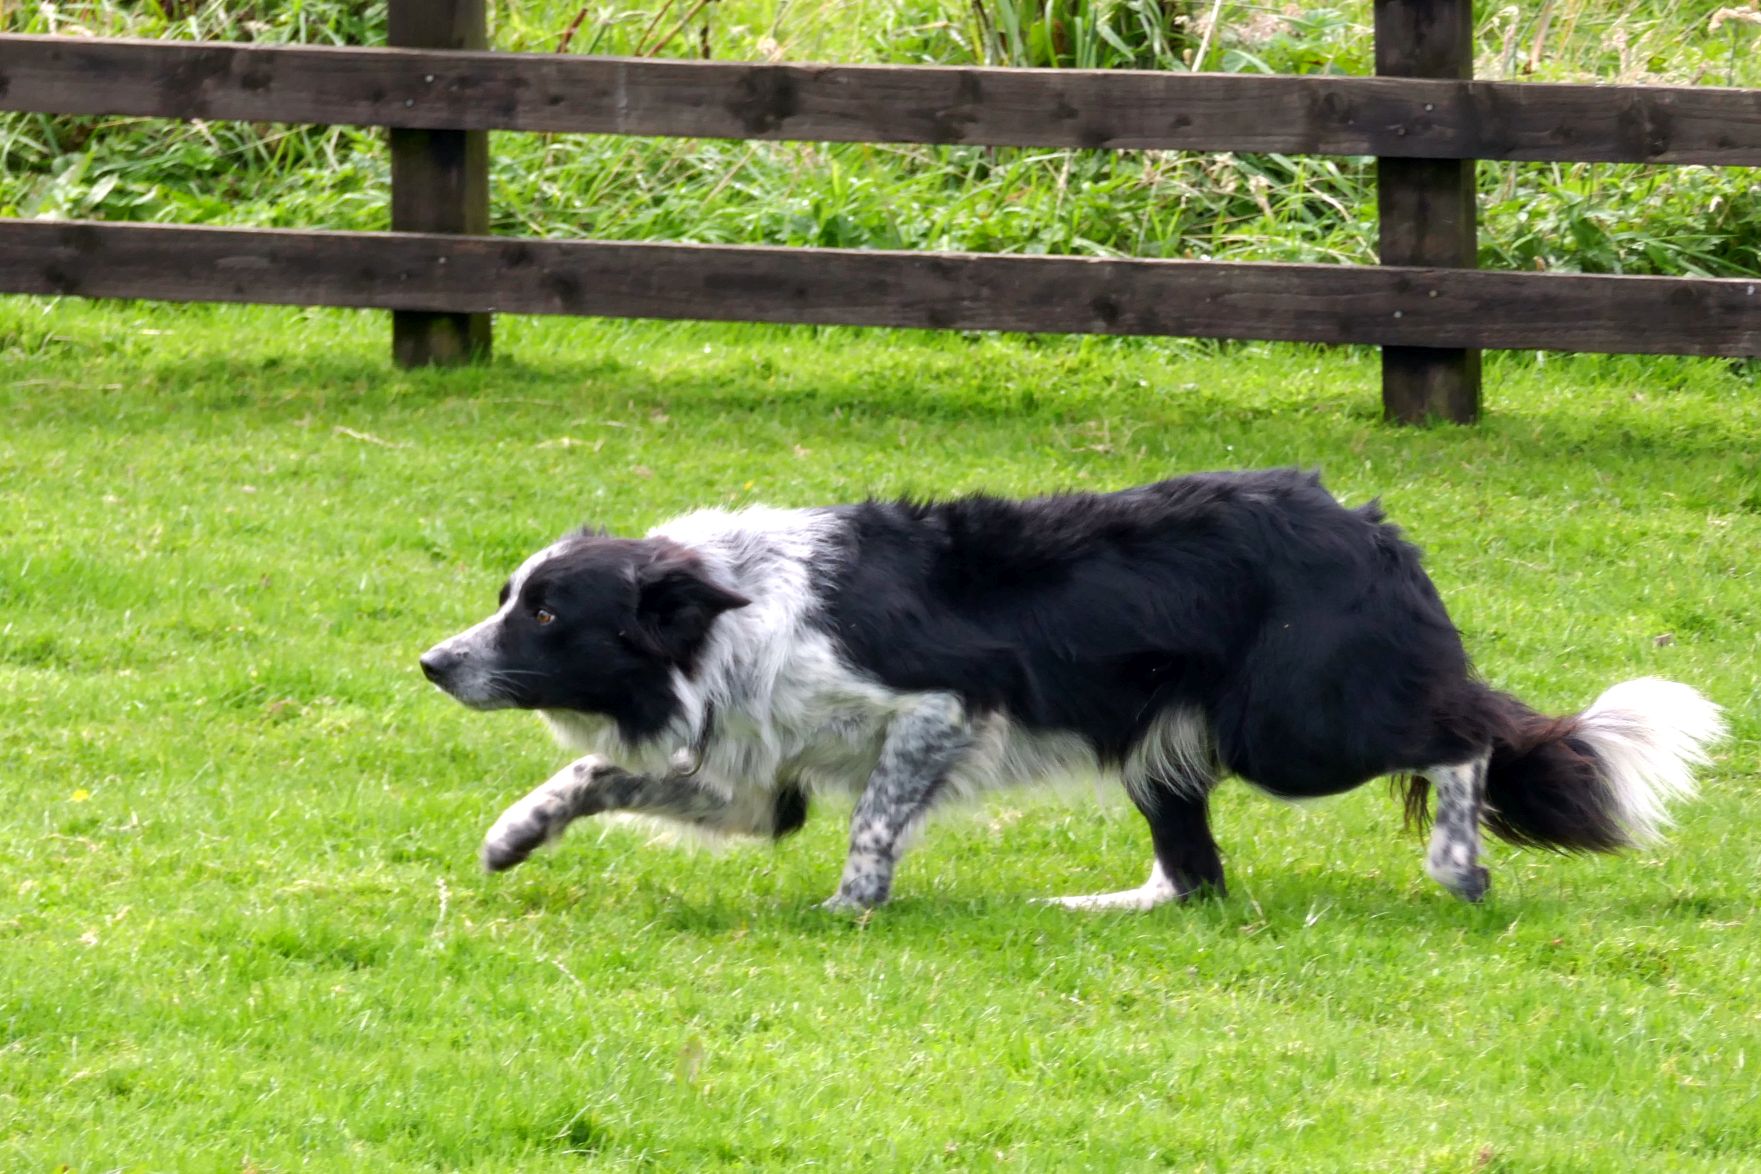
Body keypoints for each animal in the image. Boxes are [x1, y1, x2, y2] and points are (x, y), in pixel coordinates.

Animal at [420, 469, 1724, 910]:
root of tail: (1370, 525)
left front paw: (852, 908)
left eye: (546, 613)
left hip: (1294, 728)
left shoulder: (938, 708)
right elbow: (595, 768)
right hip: (1167, 746)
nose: (432, 663)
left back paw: (1459, 866)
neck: (728, 609)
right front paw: (511, 834)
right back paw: (1098, 905)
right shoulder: (754, 778)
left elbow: (874, 821)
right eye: (510, 596)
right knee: (1196, 881)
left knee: (1463, 737)